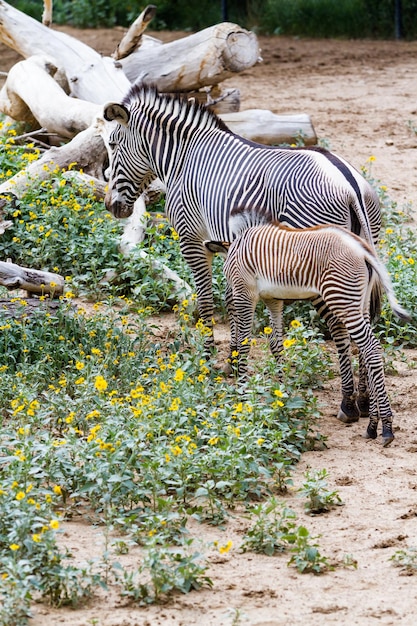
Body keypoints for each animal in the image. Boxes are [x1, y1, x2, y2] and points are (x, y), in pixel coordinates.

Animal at [103, 81, 380, 414]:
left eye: (113, 144)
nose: (110, 206)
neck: (183, 157)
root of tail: (348, 183)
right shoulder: (228, 244)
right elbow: (232, 300)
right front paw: (233, 360)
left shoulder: (193, 241)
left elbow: (206, 302)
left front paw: (208, 362)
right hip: (362, 258)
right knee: (364, 323)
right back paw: (365, 400)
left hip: (322, 265)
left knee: (341, 327)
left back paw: (348, 403)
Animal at [206, 208, 410, 444]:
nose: (226, 296)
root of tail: (363, 248)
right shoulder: (273, 300)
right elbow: (276, 344)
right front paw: (282, 391)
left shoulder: (245, 295)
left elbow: (244, 343)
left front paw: (242, 391)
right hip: (361, 302)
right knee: (366, 352)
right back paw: (372, 426)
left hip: (342, 299)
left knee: (372, 348)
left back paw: (386, 427)